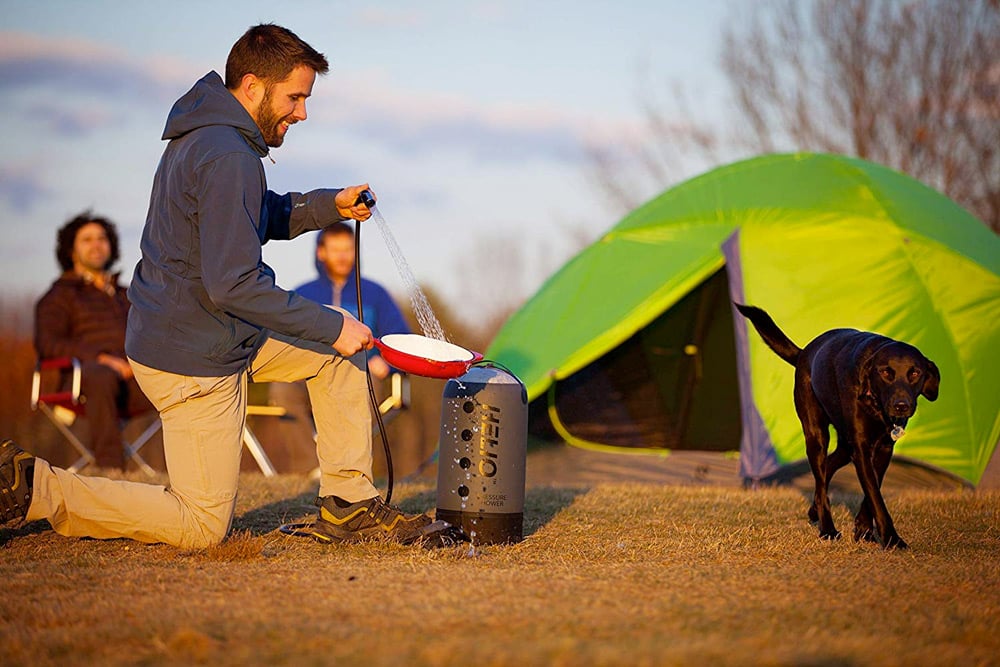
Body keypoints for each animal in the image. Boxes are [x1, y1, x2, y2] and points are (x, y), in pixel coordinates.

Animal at [736, 306, 936, 552]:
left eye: (915, 373)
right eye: (886, 373)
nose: (901, 406)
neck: (875, 404)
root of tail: (804, 353)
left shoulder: (883, 448)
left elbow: (874, 489)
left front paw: (863, 528)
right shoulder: (860, 447)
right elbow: (875, 495)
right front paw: (891, 539)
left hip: (843, 444)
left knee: (827, 468)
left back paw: (815, 510)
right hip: (816, 435)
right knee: (821, 479)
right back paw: (828, 529)